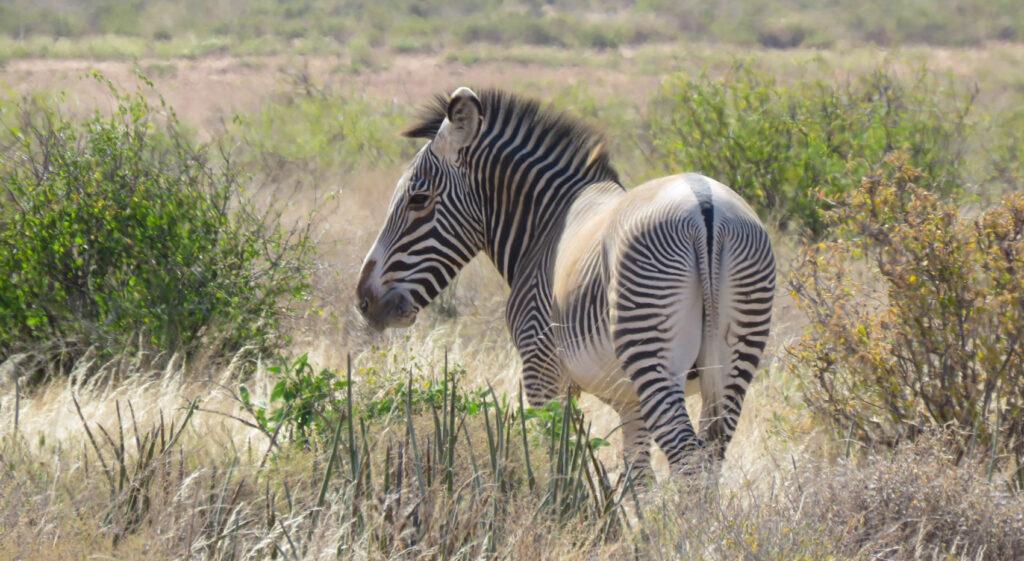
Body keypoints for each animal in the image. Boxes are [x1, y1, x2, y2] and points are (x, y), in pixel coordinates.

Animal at [357, 87, 774, 476]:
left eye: (418, 198)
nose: (364, 300)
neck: (545, 224)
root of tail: (704, 205)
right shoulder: (629, 400)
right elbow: (637, 477)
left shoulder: (540, 368)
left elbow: (552, 457)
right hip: (735, 357)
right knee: (710, 458)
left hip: (651, 347)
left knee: (688, 461)